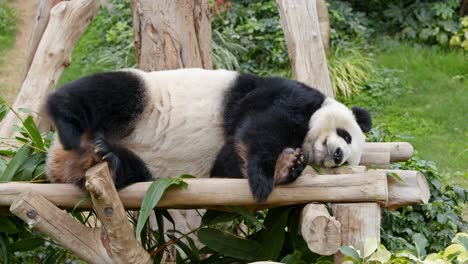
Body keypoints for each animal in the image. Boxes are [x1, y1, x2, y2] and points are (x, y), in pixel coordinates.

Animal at [45, 67, 372, 200]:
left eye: (346, 163)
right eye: (346, 135)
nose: (337, 155)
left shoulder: (224, 159)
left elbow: (229, 162)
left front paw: (287, 167)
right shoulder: (290, 94)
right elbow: (263, 124)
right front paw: (266, 175)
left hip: (147, 168)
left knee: (129, 169)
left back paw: (106, 158)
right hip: (144, 97)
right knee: (110, 91)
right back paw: (64, 114)